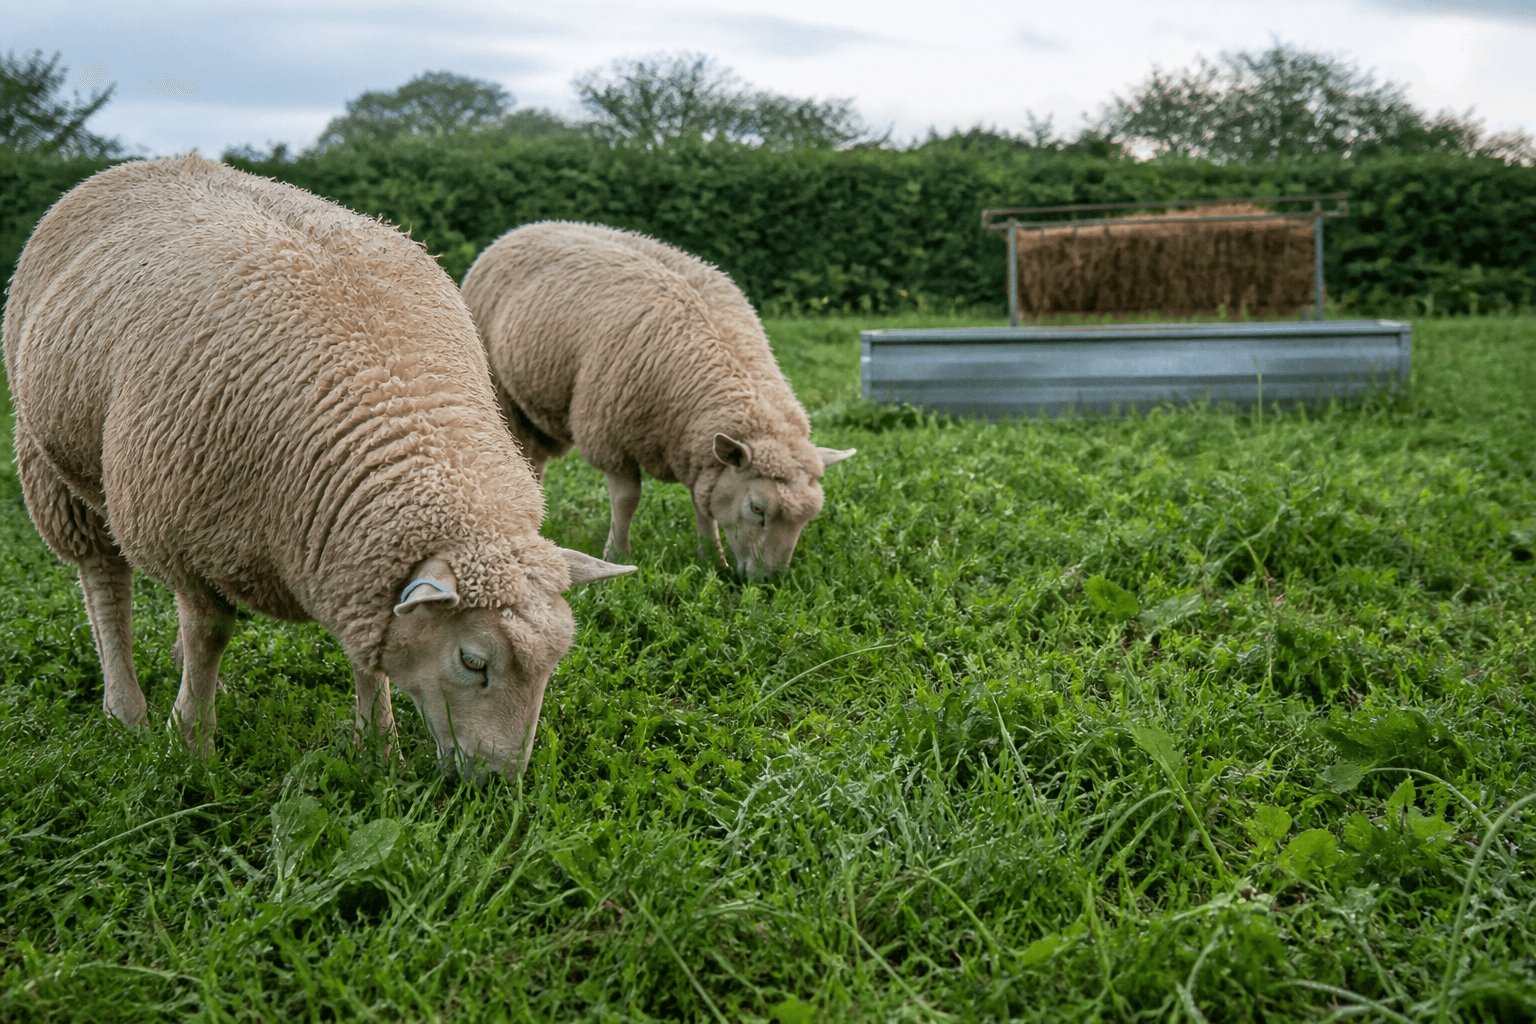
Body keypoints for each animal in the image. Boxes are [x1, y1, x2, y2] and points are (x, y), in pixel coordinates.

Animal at [2, 156, 633, 779]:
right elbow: (209, 634)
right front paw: (192, 747)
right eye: (473, 661)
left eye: (553, 663)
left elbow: (368, 655)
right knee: (104, 583)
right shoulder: (185, 540)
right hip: (50, 460)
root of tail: (145, 163)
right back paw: (126, 709)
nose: (499, 785)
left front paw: (378, 749)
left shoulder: (362, 566)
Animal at [459, 221, 855, 577]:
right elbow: (626, 500)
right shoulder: (610, 437)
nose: (771, 580)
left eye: (809, 516)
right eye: (757, 508)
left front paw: (712, 558)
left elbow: (702, 503)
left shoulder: (699, 453)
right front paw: (617, 554)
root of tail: (521, 229)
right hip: (505, 397)